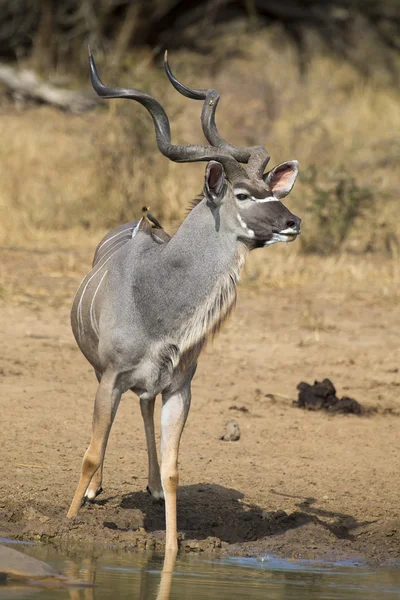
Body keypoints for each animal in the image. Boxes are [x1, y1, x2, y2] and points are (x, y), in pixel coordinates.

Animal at [68, 54, 300, 552]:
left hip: (148, 387)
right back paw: (96, 491)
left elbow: (175, 470)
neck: (157, 302)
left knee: (143, 408)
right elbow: (91, 452)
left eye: (273, 191)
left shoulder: (179, 385)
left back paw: (151, 488)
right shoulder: (111, 377)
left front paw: (172, 549)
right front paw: (69, 519)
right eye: (243, 194)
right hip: (99, 373)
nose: (293, 222)